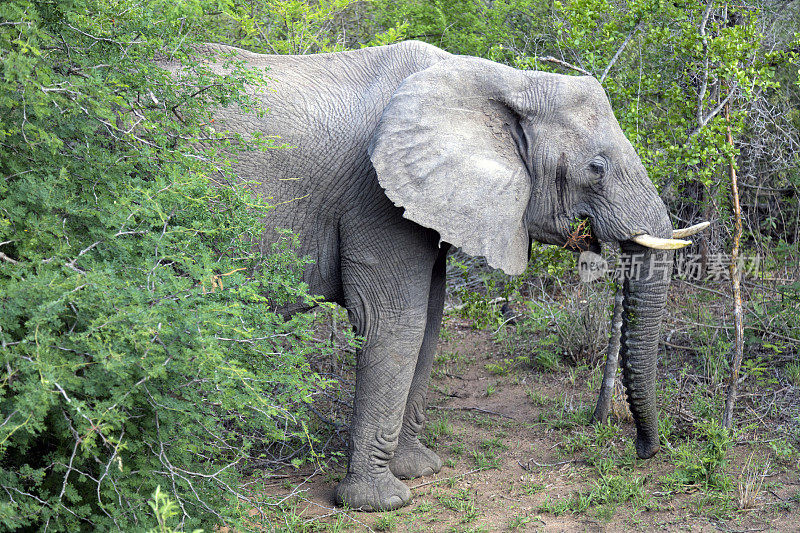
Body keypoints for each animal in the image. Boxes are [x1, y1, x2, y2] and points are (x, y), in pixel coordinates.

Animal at [177, 40, 708, 508]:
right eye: (595, 168)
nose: (642, 450)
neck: (506, 79)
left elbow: (429, 321)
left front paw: (418, 469)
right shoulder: (376, 196)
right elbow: (394, 322)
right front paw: (381, 502)